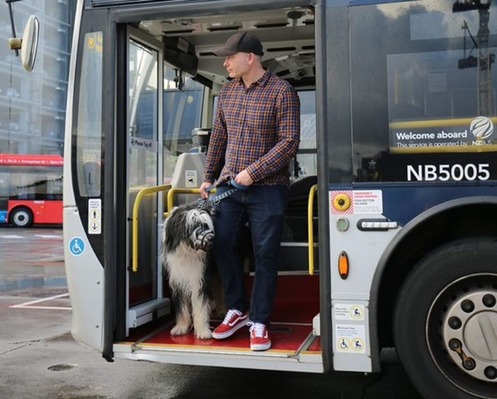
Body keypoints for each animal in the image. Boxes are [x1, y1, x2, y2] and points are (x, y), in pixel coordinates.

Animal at [161, 203, 223, 340]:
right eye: (192, 225)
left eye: (205, 225)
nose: (211, 238)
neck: (187, 252)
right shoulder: (178, 280)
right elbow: (182, 308)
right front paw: (181, 327)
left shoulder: (199, 279)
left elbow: (200, 305)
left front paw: (203, 331)